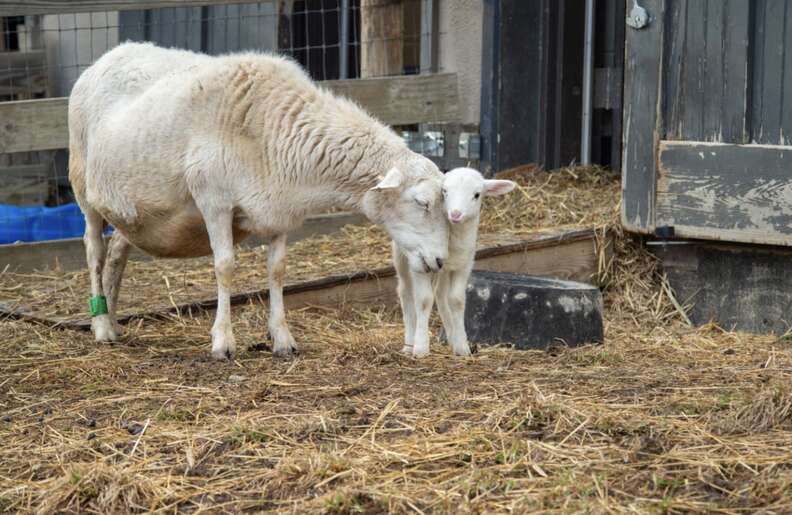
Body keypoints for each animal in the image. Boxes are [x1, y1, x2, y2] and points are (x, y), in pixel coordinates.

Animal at [68, 43, 448, 358]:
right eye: (422, 202)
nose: (440, 260)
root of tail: (109, 55)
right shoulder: (214, 202)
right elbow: (224, 267)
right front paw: (222, 341)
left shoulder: (279, 210)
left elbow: (277, 271)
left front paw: (282, 338)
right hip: (83, 188)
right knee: (94, 251)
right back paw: (100, 326)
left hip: (133, 211)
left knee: (118, 252)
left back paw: (113, 320)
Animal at [392, 167, 516, 356]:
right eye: (444, 192)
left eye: (477, 194)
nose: (455, 214)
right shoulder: (420, 264)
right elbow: (424, 300)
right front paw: (421, 347)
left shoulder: (464, 265)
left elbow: (457, 300)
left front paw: (462, 346)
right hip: (401, 254)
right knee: (405, 291)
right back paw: (408, 344)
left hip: (445, 269)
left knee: (441, 295)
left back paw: (452, 338)